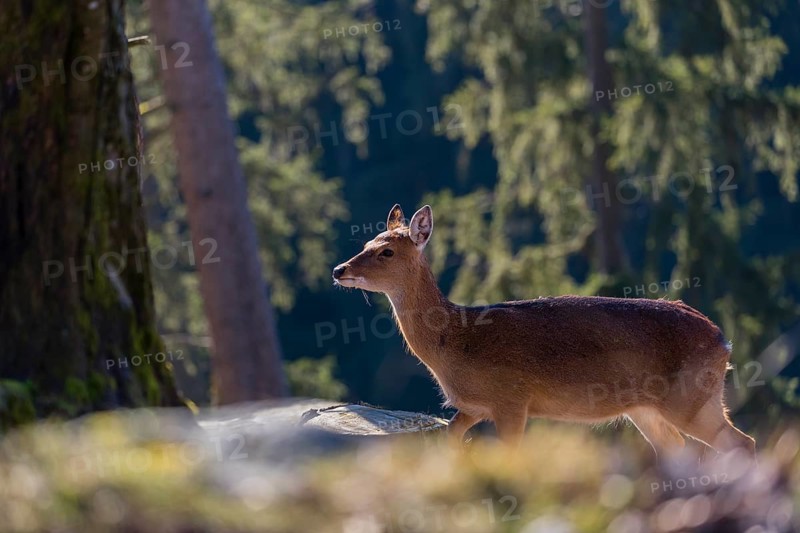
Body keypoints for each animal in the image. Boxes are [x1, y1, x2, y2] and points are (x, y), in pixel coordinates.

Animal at [332, 204, 756, 458]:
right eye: (367, 241)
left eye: (386, 251)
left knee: (742, 442)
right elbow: (451, 437)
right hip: (649, 409)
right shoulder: (473, 407)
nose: (339, 269)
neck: (456, 340)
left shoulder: (511, 399)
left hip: (689, 397)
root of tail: (723, 341)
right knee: (681, 448)